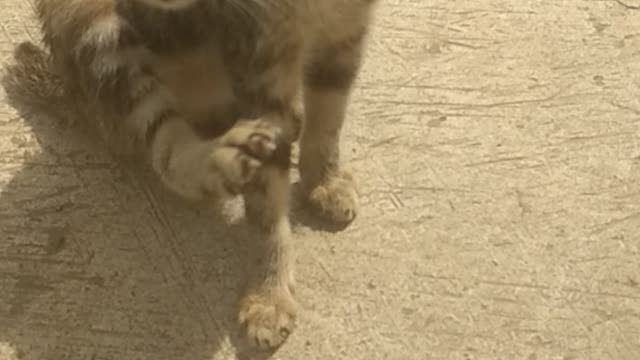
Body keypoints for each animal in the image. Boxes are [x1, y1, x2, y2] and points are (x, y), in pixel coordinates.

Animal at [5, 0, 378, 350]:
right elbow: (266, 206)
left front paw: (325, 182)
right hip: (98, 29)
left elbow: (328, 117)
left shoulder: (346, 31)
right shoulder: (258, 58)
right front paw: (268, 295)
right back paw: (232, 157)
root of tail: (71, 93)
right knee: (166, 148)